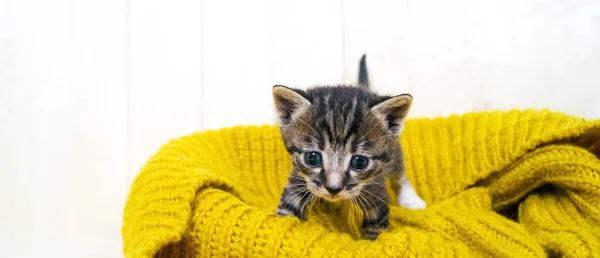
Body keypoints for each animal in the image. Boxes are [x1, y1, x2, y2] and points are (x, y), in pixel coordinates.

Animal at [274, 54, 424, 240]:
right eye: (312, 158)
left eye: (359, 162)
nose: (333, 189)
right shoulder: (299, 178)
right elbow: (287, 209)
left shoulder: (376, 189)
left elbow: (376, 231)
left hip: (394, 153)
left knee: (399, 174)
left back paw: (411, 199)